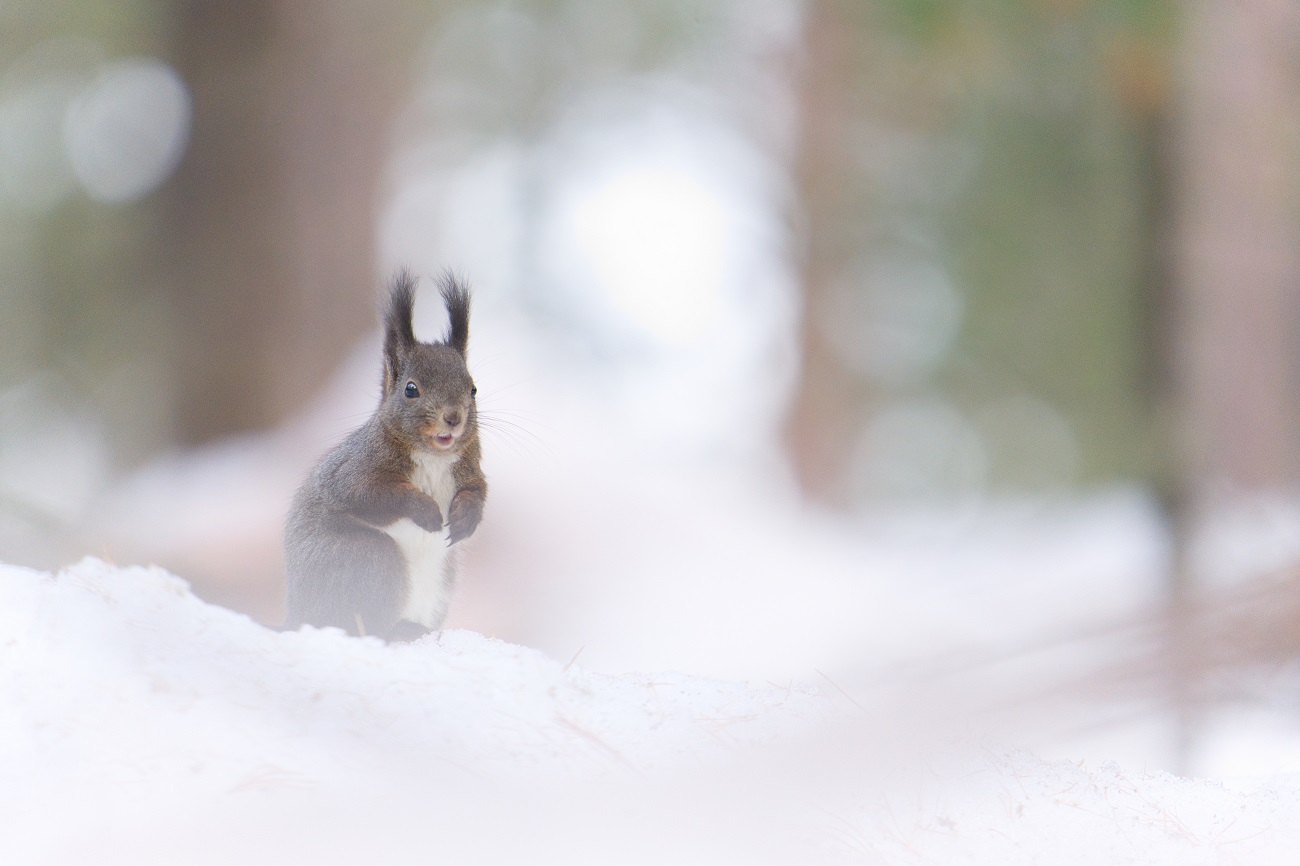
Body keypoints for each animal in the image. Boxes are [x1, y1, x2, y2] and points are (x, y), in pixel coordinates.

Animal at [283, 270, 487, 641]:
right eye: (410, 389)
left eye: (473, 389)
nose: (453, 417)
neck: (433, 456)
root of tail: (296, 619)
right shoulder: (356, 468)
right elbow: (370, 494)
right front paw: (424, 510)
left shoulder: (470, 467)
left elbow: (477, 490)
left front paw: (466, 518)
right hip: (369, 560)